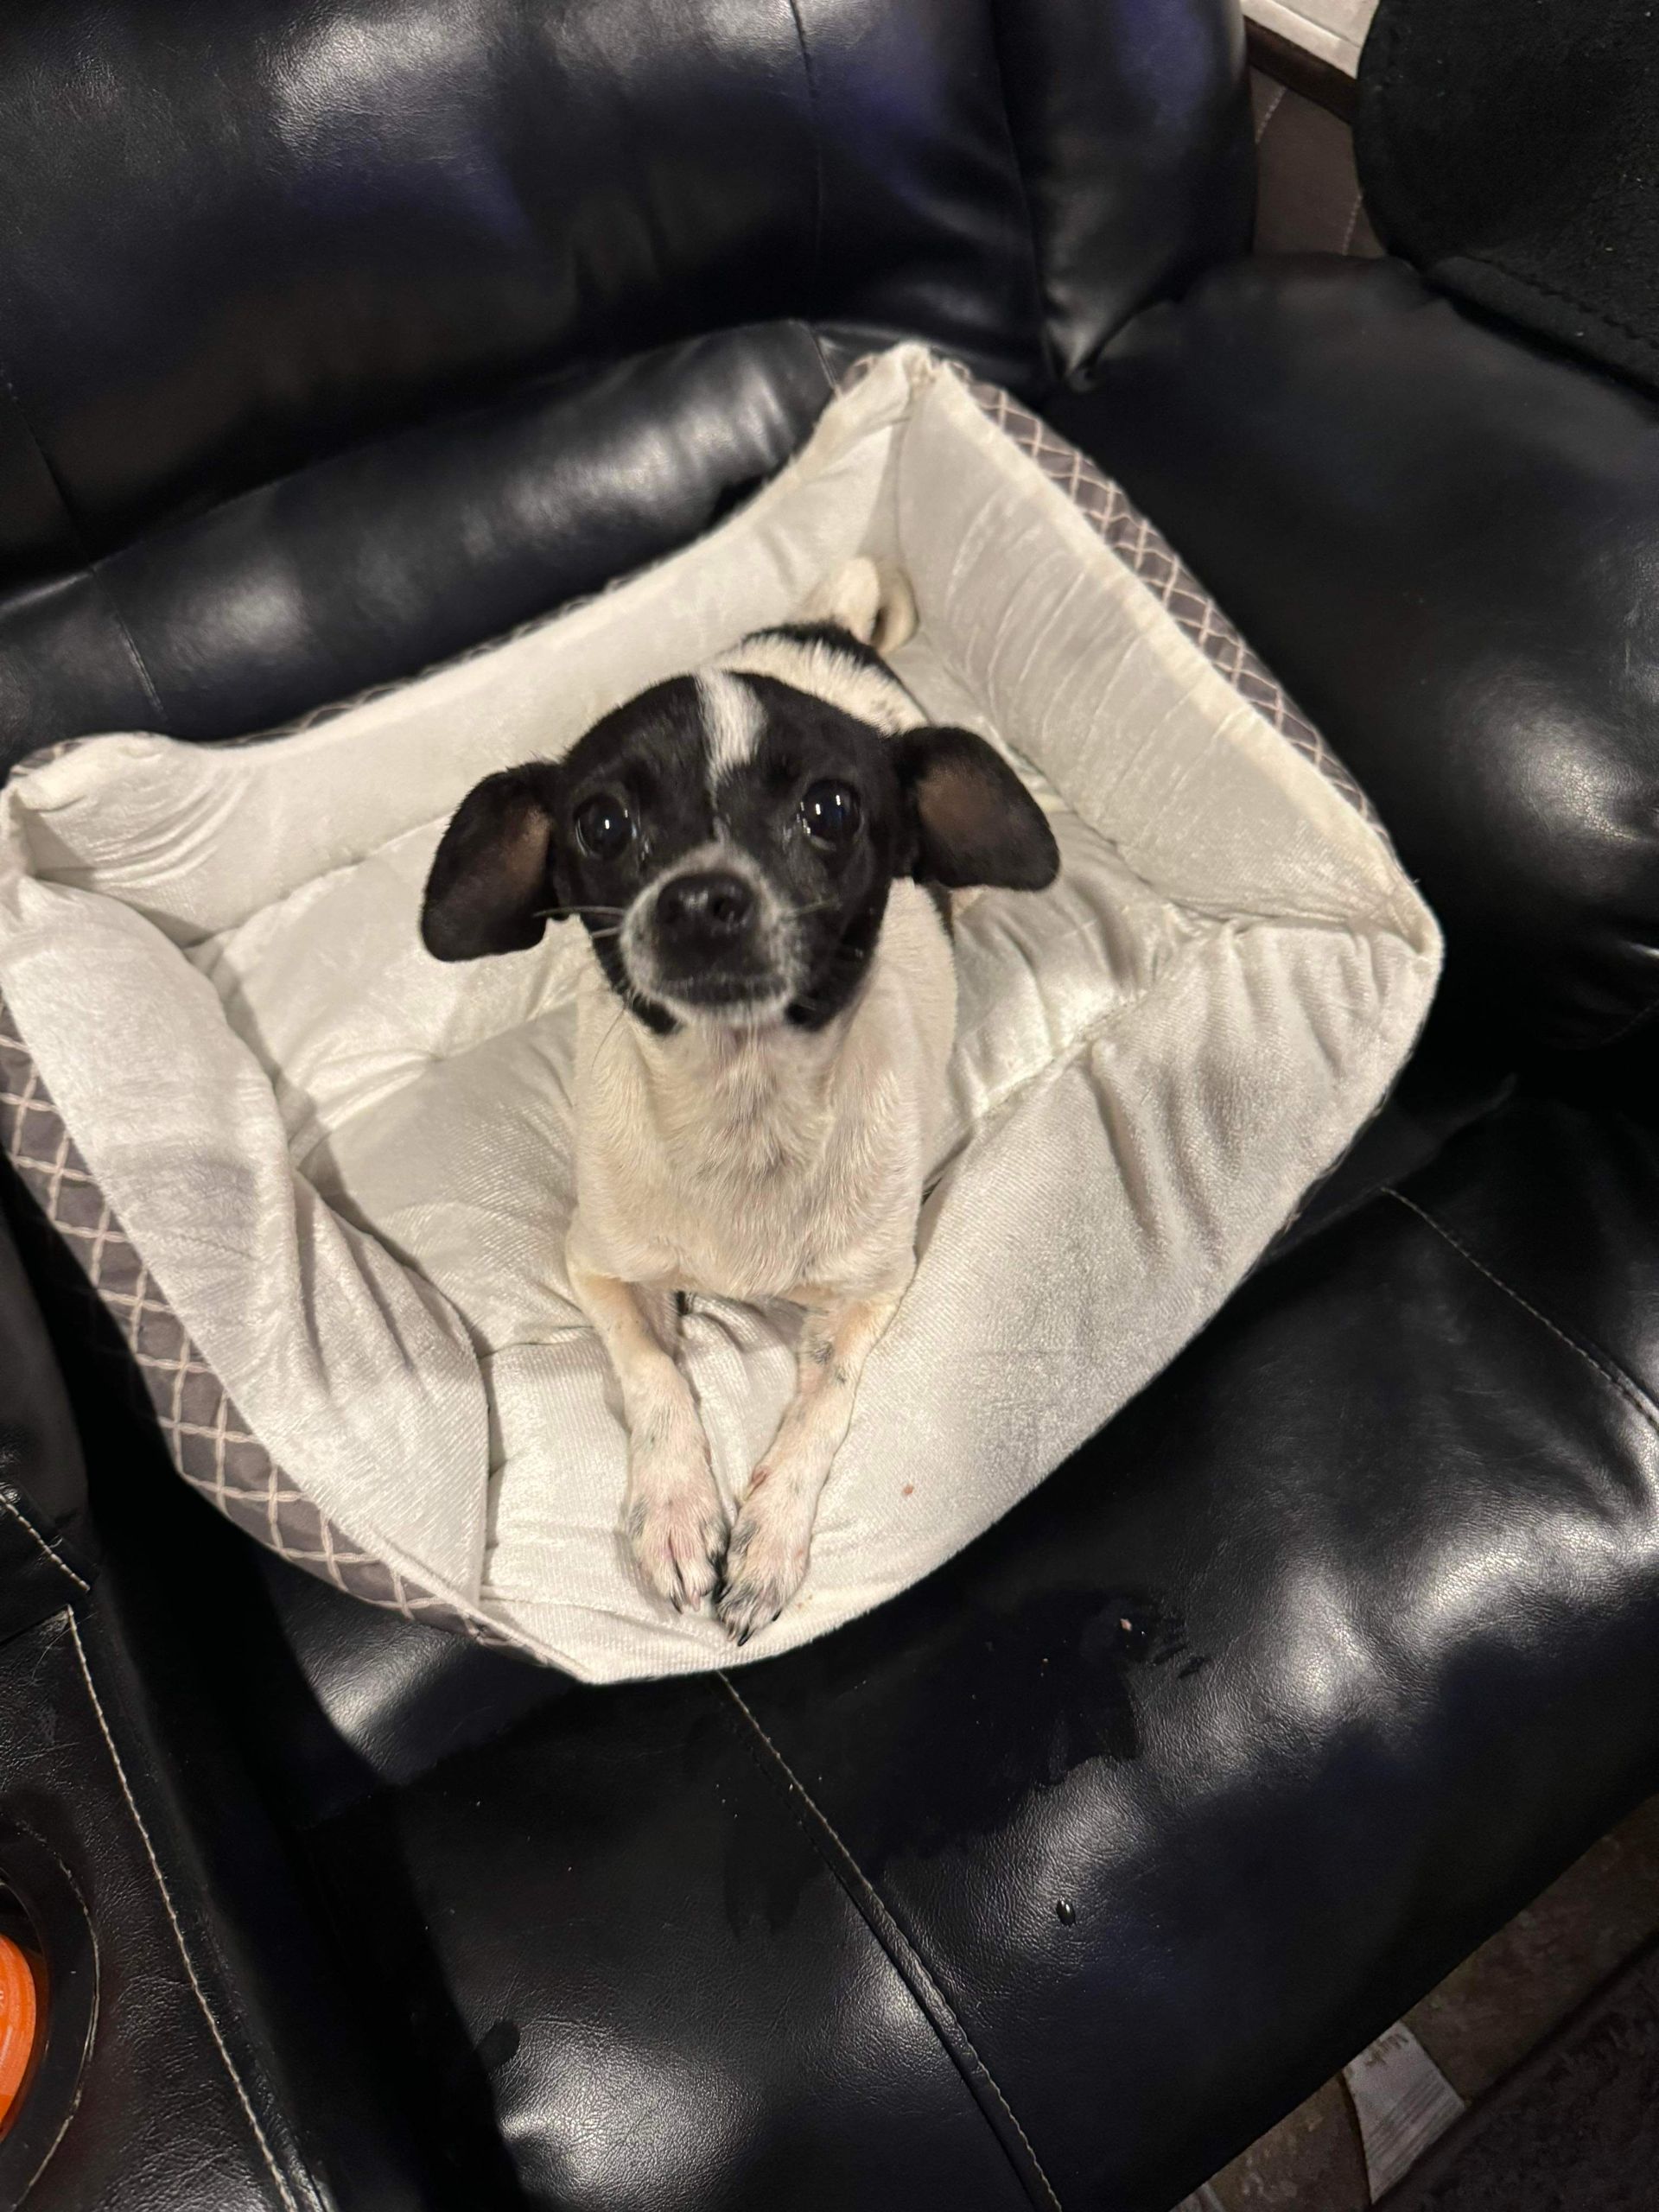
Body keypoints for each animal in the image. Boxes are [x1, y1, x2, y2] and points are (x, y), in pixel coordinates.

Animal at [422, 566, 1057, 1645]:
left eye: (832, 809)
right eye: (601, 824)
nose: (700, 899)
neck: (741, 1104)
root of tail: (824, 630)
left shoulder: (874, 1288)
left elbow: (822, 1403)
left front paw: (769, 1541)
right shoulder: (595, 1265)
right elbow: (653, 1371)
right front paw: (677, 1510)